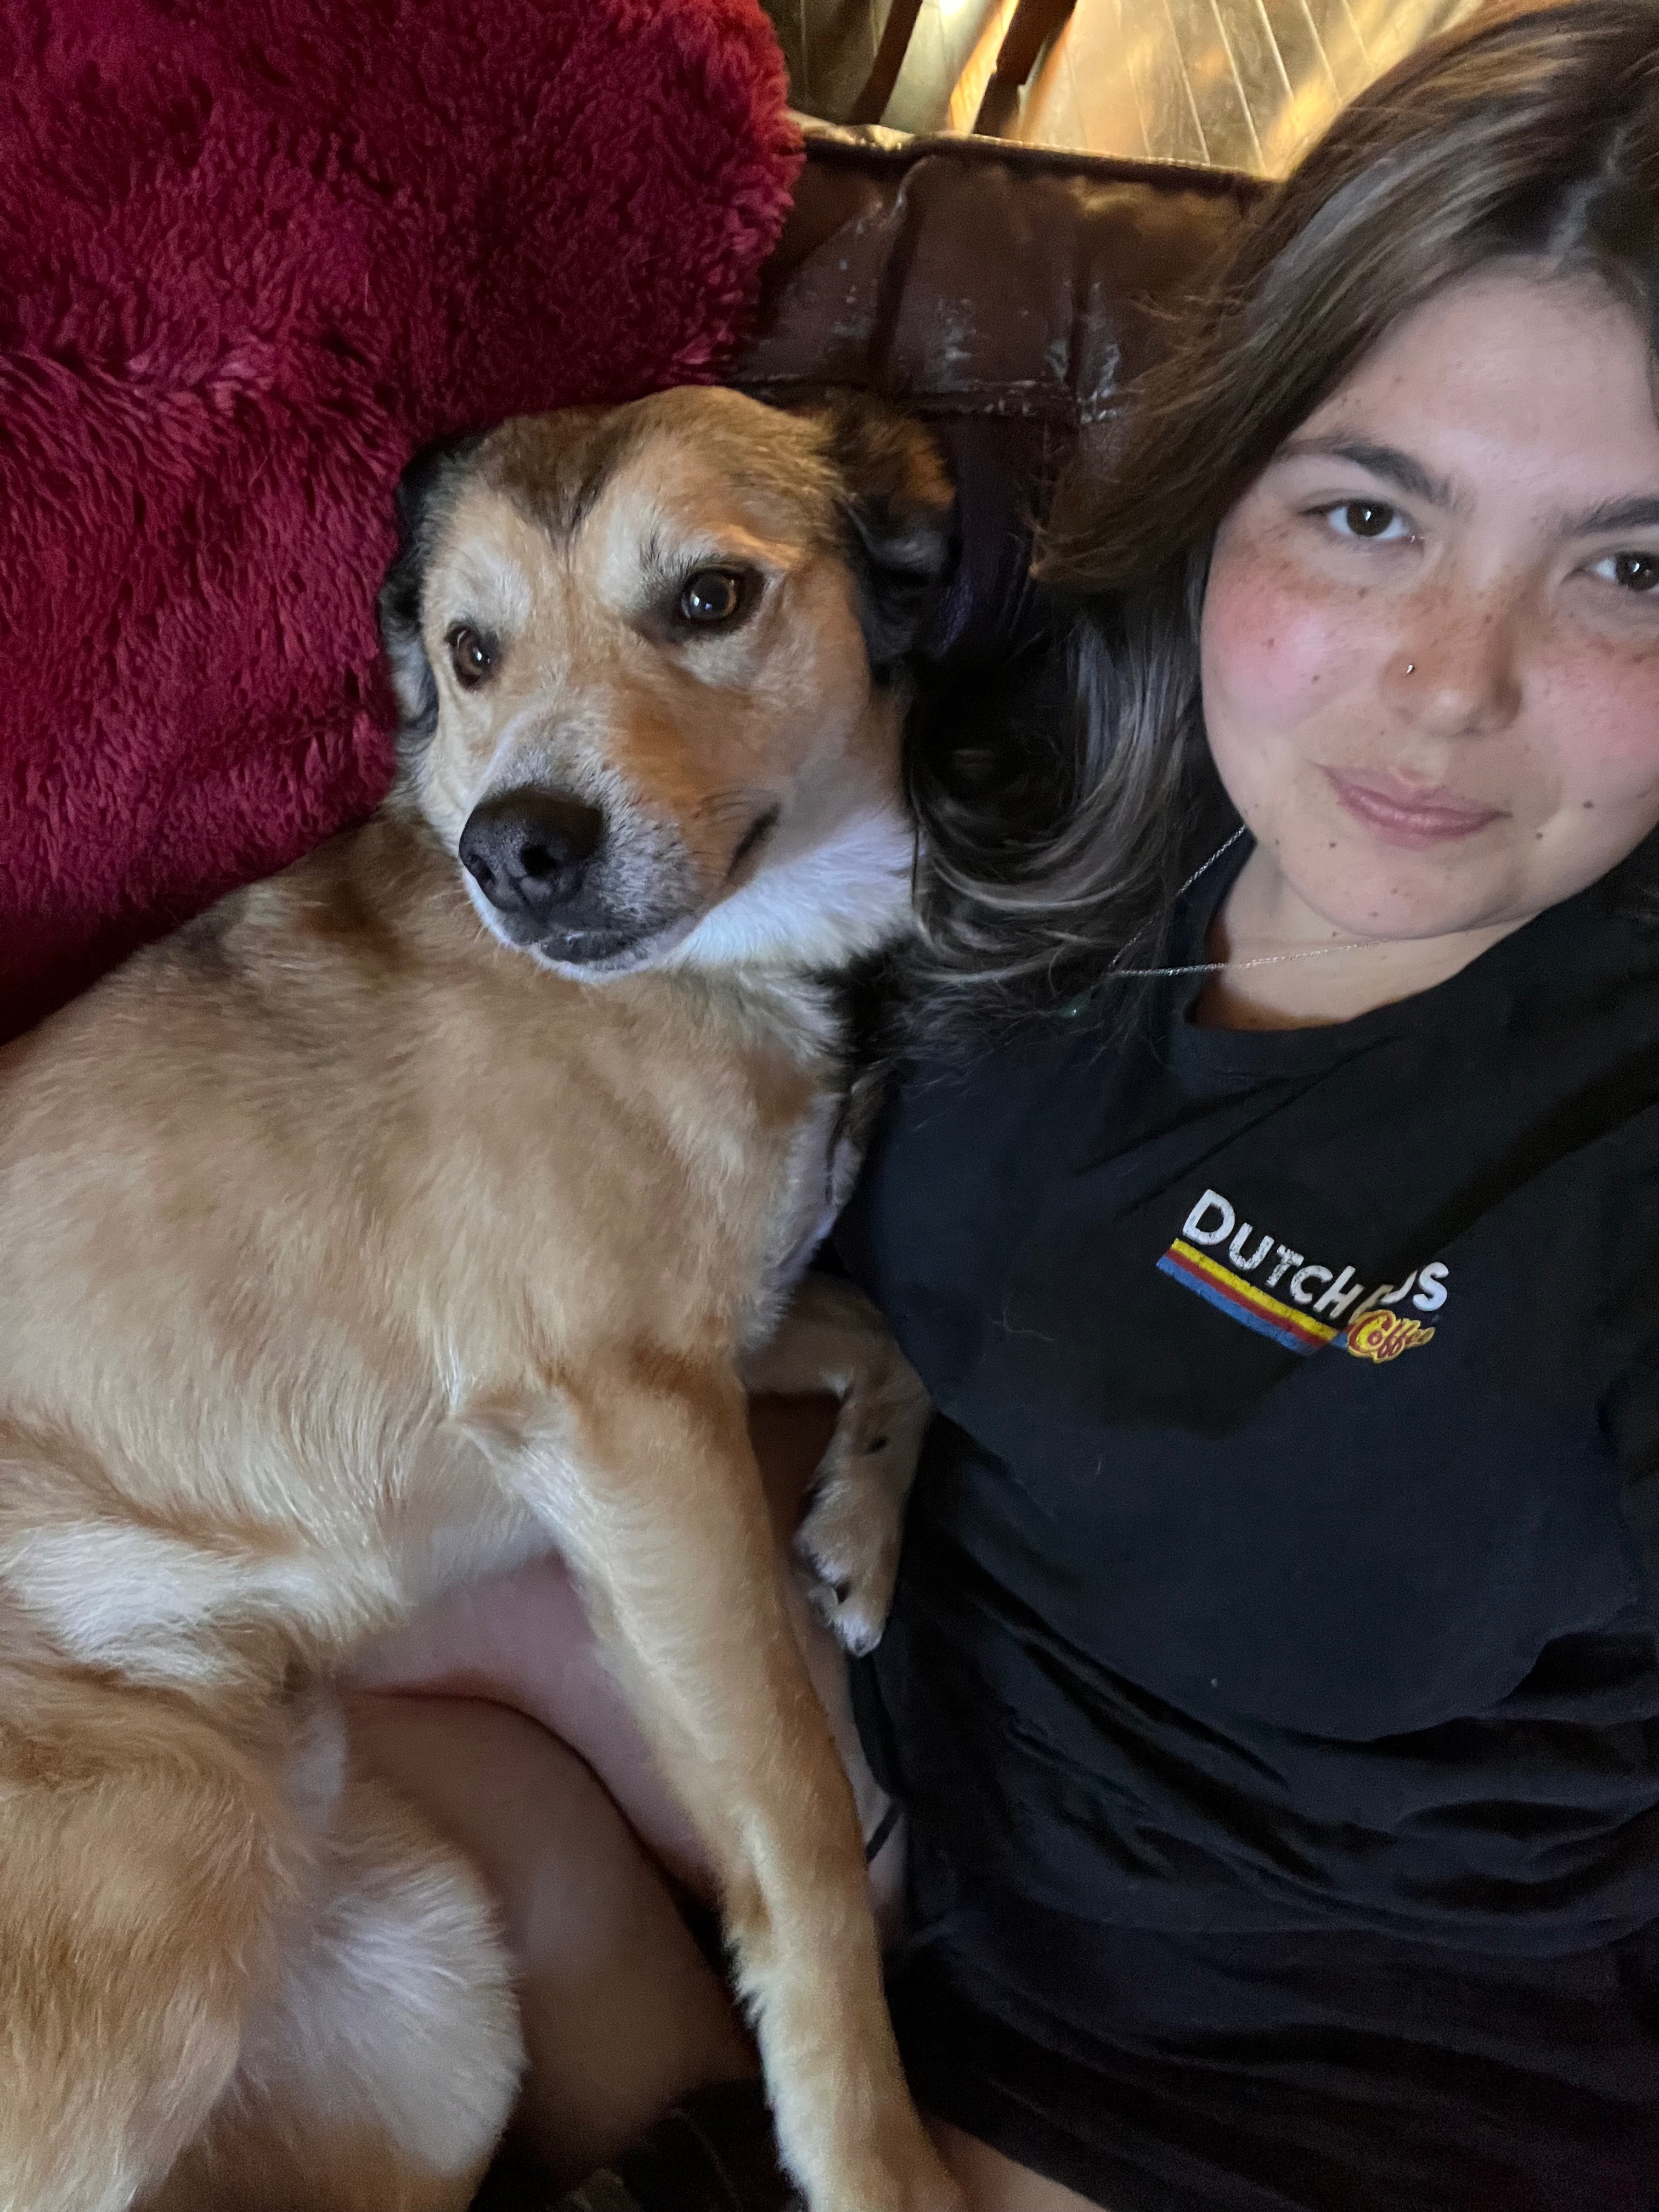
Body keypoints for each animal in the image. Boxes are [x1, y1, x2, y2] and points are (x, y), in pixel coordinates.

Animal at [0, 386, 955, 2212]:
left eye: (711, 599)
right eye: (471, 649)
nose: (521, 848)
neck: (729, 969)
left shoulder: (710, 1345)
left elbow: (892, 1337)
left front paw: (858, 1537)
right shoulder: (630, 1418)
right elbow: (800, 1816)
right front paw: (872, 2148)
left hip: (429, 1990)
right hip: (151, 1891)